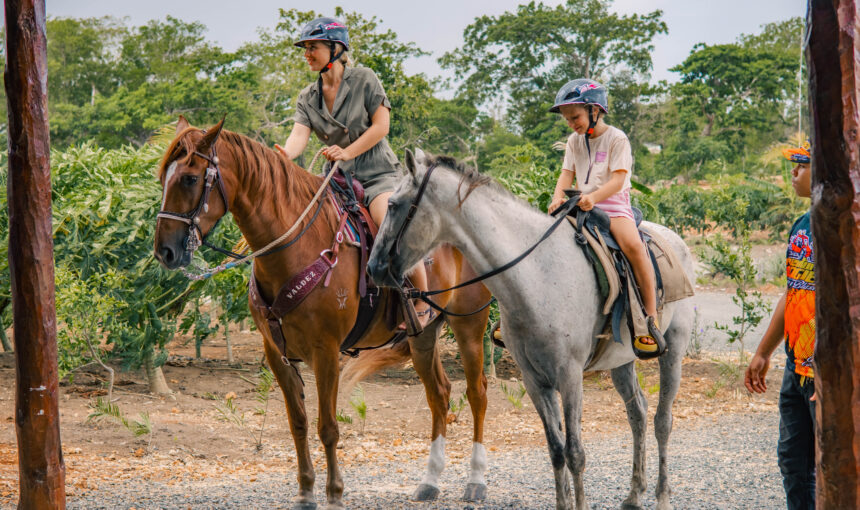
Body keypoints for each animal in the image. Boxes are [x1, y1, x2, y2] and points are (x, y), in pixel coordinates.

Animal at [152, 117, 494, 508]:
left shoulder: (326, 351)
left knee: (477, 392)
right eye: (163, 178)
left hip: (469, 325)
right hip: (422, 336)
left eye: (190, 178)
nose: (164, 251)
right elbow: (298, 423)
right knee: (439, 393)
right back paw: (430, 482)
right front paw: (305, 491)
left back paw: (476, 482)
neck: (297, 245)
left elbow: (327, 427)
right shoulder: (278, 353)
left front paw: (334, 493)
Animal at [366, 149, 696, 508]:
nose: (373, 268)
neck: (536, 275)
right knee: (638, 413)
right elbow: (556, 450)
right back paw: (635, 494)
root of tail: (677, 242)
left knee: (662, 421)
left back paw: (662, 496)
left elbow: (576, 453)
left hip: (673, 352)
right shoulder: (534, 379)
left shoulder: (570, 376)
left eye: (393, 204)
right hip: (620, 361)